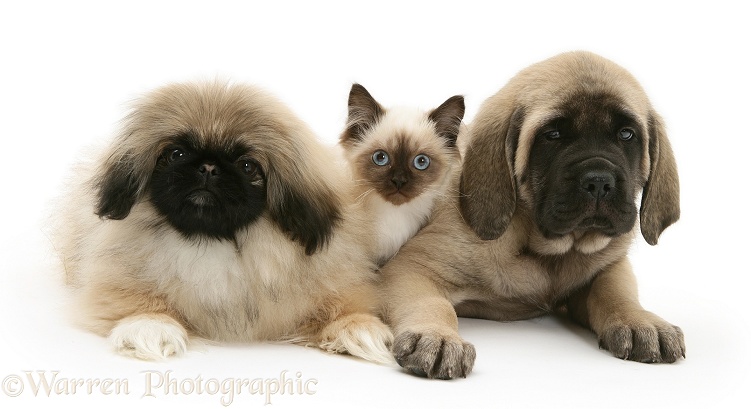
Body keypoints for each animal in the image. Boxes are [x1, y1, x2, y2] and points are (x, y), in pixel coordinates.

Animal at [384, 51, 684, 380]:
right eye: (552, 134)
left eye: (626, 134)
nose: (599, 182)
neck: (546, 251)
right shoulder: (413, 267)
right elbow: (433, 303)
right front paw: (436, 336)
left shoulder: (610, 266)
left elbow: (615, 292)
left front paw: (639, 320)